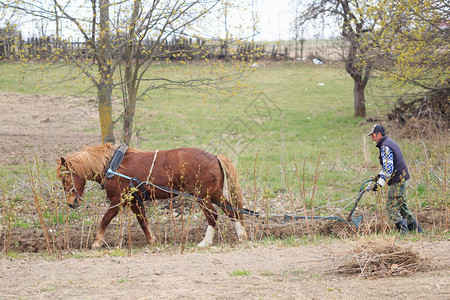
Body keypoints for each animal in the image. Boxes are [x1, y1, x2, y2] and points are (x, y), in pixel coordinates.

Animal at [57, 143, 250, 248]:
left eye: (65, 178)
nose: (71, 202)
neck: (113, 166)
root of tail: (215, 156)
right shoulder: (134, 201)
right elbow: (143, 221)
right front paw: (152, 240)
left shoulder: (119, 199)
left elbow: (105, 219)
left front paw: (96, 242)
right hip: (214, 194)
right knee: (232, 211)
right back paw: (241, 236)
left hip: (203, 195)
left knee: (213, 215)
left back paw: (206, 242)